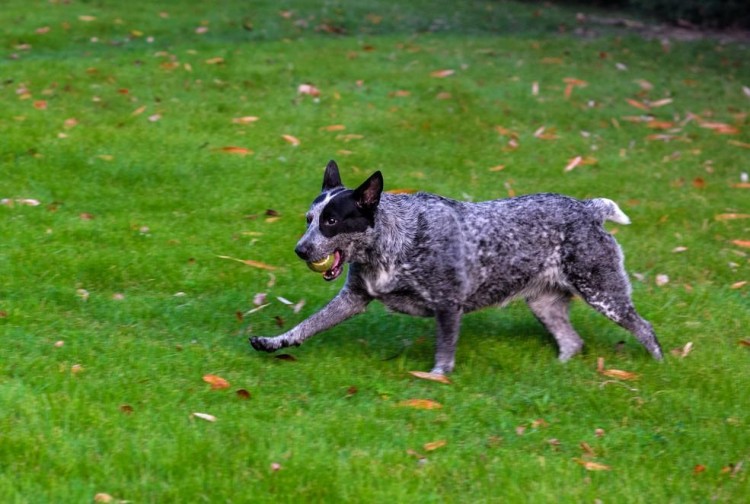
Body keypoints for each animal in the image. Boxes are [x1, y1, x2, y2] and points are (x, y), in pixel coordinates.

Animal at [251, 161, 664, 374]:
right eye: (309, 219)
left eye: (332, 222)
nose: (301, 250)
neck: (394, 240)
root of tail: (587, 209)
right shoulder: (353, 299)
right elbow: (307, 325)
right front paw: (275, 341)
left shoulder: (448, 305)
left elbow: (444, 354)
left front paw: (435, 380)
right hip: (544, 303)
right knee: (572, 342)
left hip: (603, 291)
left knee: (644, 328)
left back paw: (658, 364)